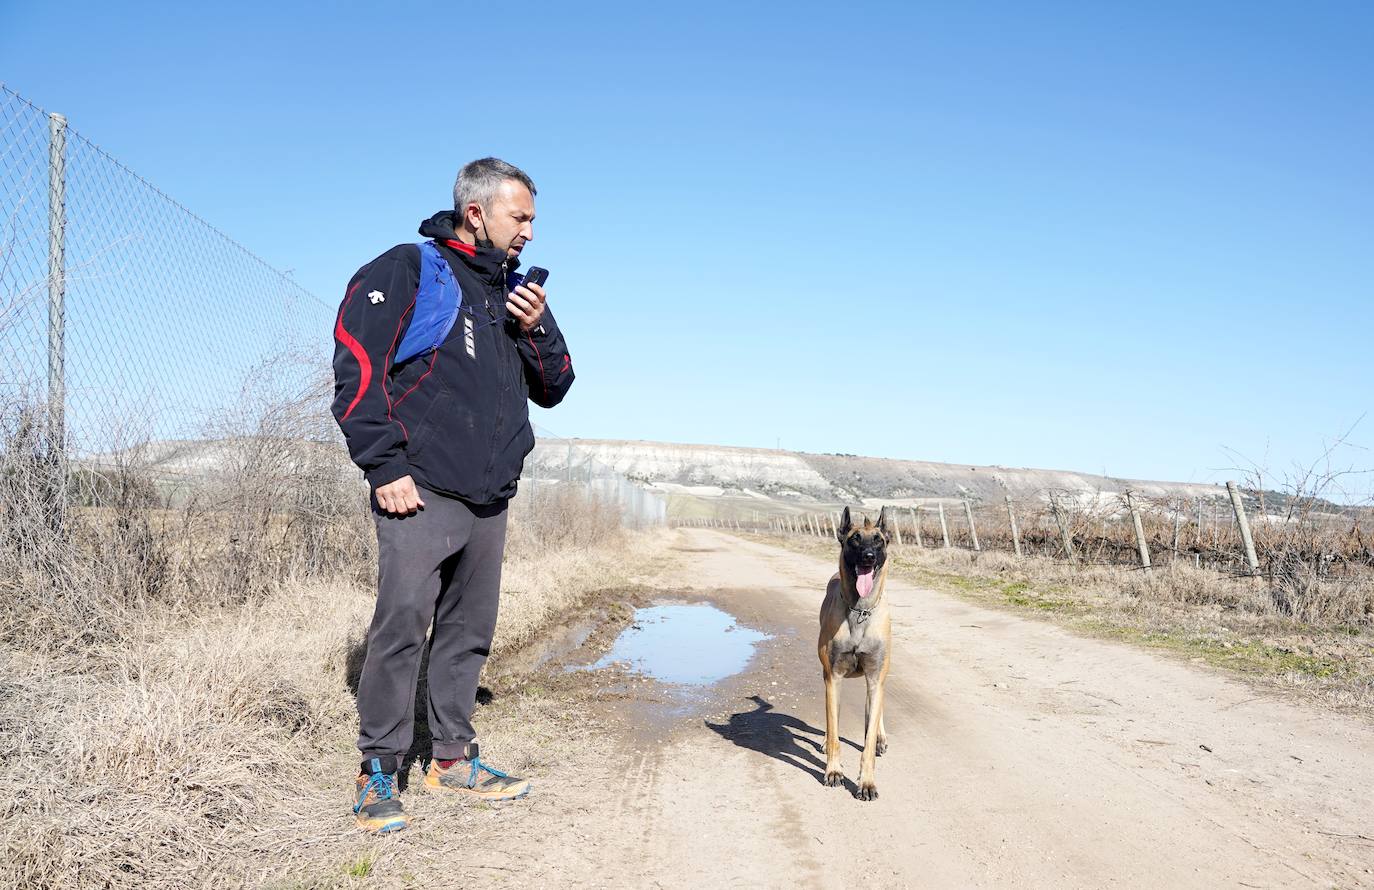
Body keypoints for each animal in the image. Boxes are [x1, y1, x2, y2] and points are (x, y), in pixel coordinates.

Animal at [813, 505, 890, 802]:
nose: (868, 556)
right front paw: (834, 771)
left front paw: (867, 783)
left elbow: (867, 741)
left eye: (879, 540)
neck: (860, 611)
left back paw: (879, 736)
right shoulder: (833, 677)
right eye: (855, 539)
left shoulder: (875, 677)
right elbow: (835, 728)